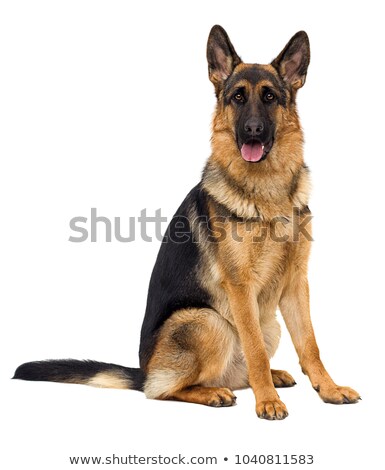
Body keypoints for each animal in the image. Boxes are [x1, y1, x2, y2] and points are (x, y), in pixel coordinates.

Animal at [12, 27, 360, 420]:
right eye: (237, 98)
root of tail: (144, 369)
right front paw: (267, 401)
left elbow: (310, 344)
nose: (252, 131)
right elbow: (254, 349)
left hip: (268, 323)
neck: (266, 192)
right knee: (163, 390)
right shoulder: (240, 287)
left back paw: (269, 376)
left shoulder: (296, 283)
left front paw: (328, 389)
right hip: (209, 322)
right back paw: (216, 392)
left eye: (270, 97)